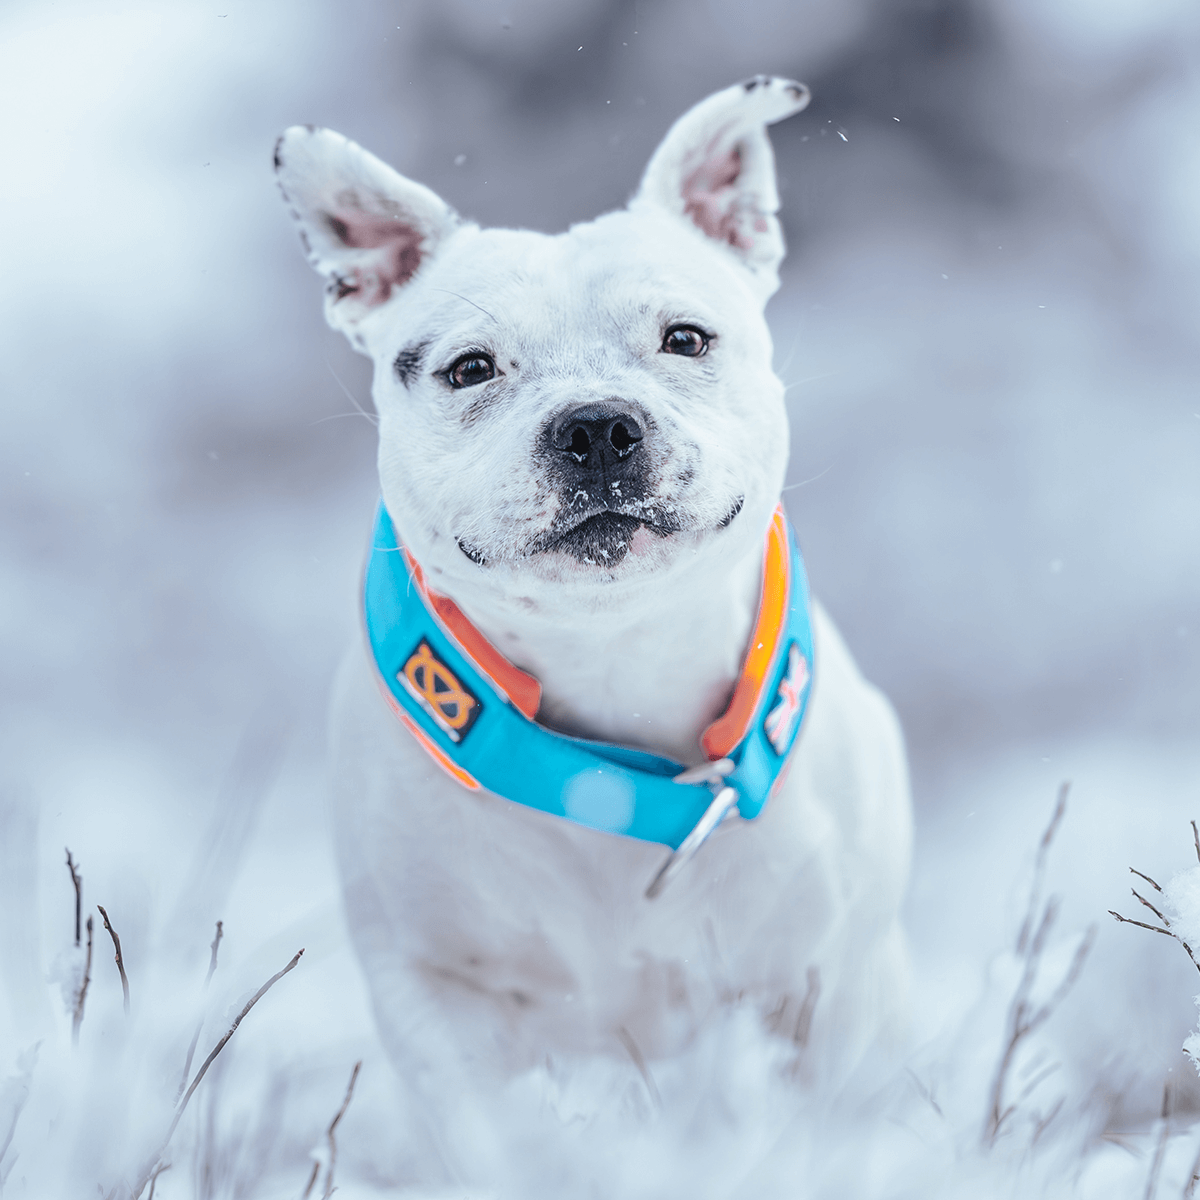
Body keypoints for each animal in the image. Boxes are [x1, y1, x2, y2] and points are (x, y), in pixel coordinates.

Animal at [274, 77, 907, 1180]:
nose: (597, 426)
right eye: (469, 368)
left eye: (686, 338)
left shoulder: (829, 990)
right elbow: (492, 1148)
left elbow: (819, 1134)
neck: (613, 666)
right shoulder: (437, 1000)